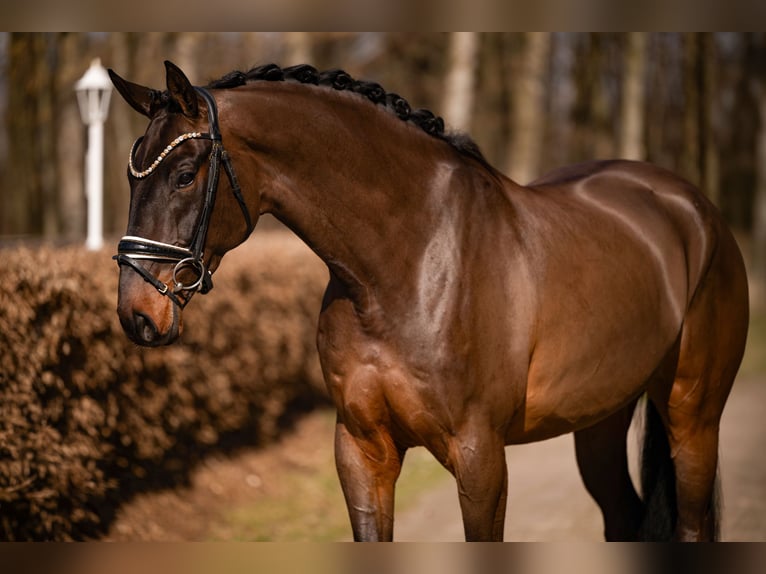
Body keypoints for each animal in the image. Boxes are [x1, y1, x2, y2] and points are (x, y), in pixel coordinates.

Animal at [108, 61, 749, 542]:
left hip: (693, 416)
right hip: (599, 420)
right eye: (131, 175)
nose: (137, 313)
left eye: (185, 174)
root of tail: (693, 207)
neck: (405, 264)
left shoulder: (481, 458)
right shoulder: (361, 451)